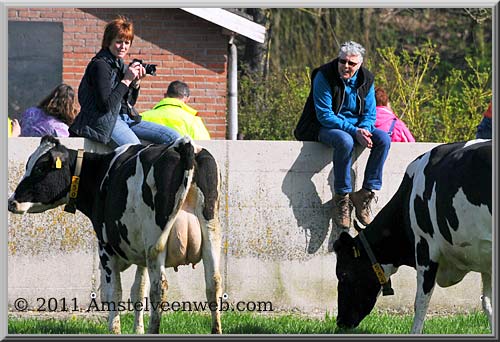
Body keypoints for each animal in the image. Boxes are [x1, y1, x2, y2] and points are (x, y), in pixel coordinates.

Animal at [7, 136, 223, 334]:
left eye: (40, 168)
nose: (11, 201)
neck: (101, 173)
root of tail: (184, 144)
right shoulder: (141, 253)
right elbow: (138, 292)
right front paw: (138, 330)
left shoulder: (106, 247)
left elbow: (115, 292)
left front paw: (115, 329)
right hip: (210, 233)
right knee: (213, 283)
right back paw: (216, 330)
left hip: (156, 242)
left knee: (159, 288)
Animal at [332, 139, 492, 334]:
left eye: (343, 274)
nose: (340, 322)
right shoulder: (484, 260)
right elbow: (487, 304)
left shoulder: (425, 248)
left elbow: (421, 302)